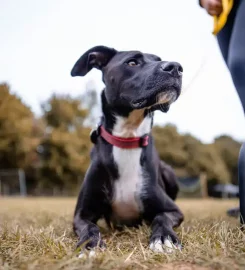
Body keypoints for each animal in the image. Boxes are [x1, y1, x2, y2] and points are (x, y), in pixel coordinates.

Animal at [71, 46, 184, 255]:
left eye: (159, 59)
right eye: (132, 62)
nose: (176, 67)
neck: (127, 138)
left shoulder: (173, 210)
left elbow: (161, 218)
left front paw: (165, 239)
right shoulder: (81, 215)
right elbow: (90, 227)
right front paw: (90, 245)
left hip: (169, 172)